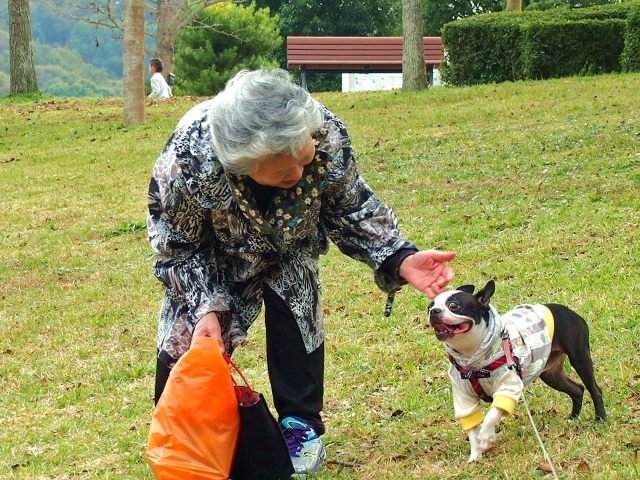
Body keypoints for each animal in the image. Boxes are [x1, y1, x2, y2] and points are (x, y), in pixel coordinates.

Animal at [430, 280, 604, 464]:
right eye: (429, 307)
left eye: (454, 306)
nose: (434, 311)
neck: (472, 359)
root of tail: (570, 311)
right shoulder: (464, 397)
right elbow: (471, 429)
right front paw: (475, 456)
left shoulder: (509, 386)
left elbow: (492, 414)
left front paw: (486, 436)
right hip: (551, 374)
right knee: (577, 389)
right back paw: (573, 417)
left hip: (579, 358)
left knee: (594, 389)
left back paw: (600, 418)